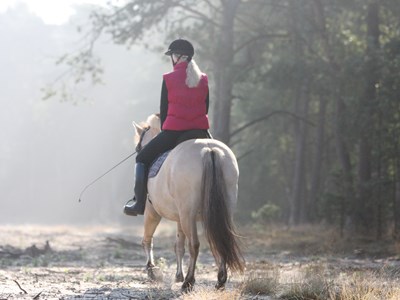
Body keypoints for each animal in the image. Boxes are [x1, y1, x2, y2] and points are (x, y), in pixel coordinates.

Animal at [133, 114, 244, 290]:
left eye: (138, 148)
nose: (138, 150)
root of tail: (208, 149)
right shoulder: (180, 217)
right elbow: (179, 245)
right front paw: (178, 275)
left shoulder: (152, 211)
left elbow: (148, 239)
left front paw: (152, 270)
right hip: (219, 211)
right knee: (219, 240)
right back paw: (220, 280)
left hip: (187, 215)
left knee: (195, 244)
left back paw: (189, 282)